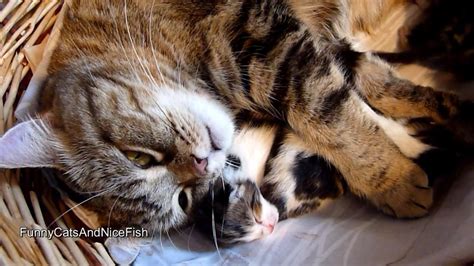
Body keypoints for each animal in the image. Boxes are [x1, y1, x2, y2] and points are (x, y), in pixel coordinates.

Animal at [0, 1, 472, 236]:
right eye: (183, 201)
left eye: (138, 157)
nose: (201, 164)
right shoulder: (317, 46)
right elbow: (371, 87)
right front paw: (448, 118)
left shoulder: (267, 37)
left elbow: (333, 112)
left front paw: (392, 180)